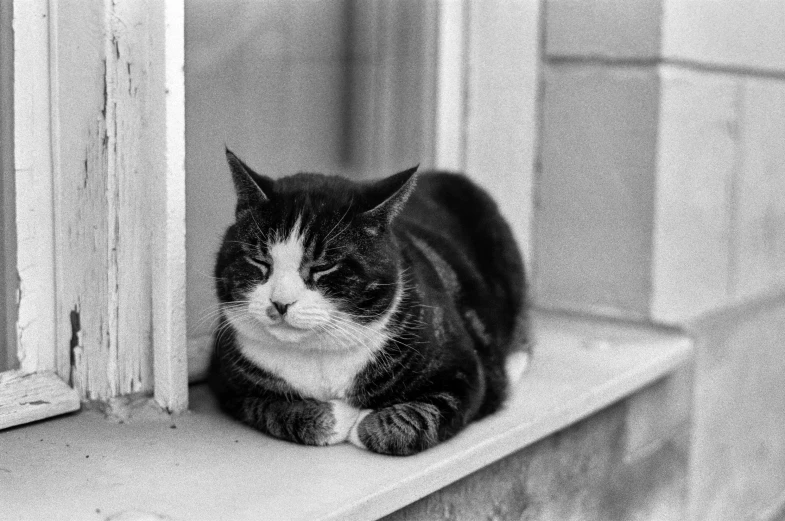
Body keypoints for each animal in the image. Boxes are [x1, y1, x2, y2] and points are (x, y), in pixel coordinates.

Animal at [208, 147, 528, 456]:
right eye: (260, 261)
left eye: (324, 267)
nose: (280, 303)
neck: (317, 356)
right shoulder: (228, 385)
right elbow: (272, 408)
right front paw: (339, 416)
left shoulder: (465, 372)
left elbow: (411, 420)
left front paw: (362, 420)